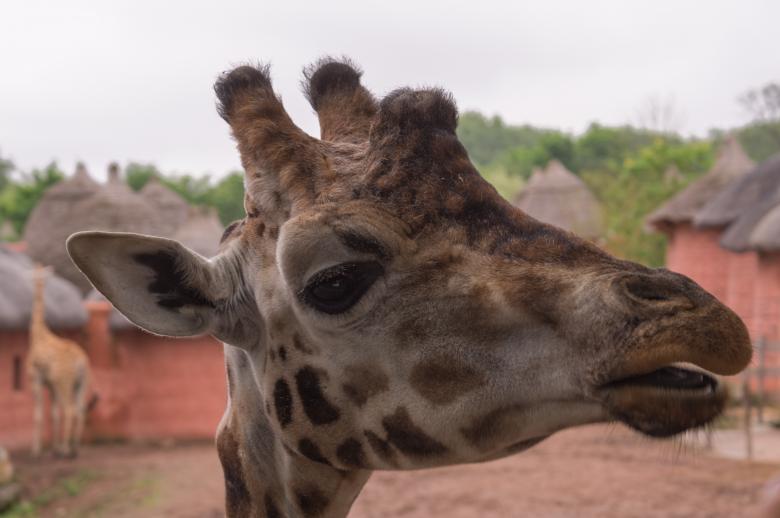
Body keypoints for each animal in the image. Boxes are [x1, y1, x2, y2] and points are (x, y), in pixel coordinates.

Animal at [26, 265, 91, 458]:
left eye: (37, 275)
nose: (36, 282)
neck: (38, 334)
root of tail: (80, 362)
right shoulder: (50, 384)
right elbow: (54, 413)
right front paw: (52, 447)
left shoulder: (36, 379)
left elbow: (39, 415)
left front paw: (36, 450)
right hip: (80, 383)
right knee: (80, 409)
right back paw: (74, 448)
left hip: (64, 382)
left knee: (70, 410)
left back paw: (65, 450)